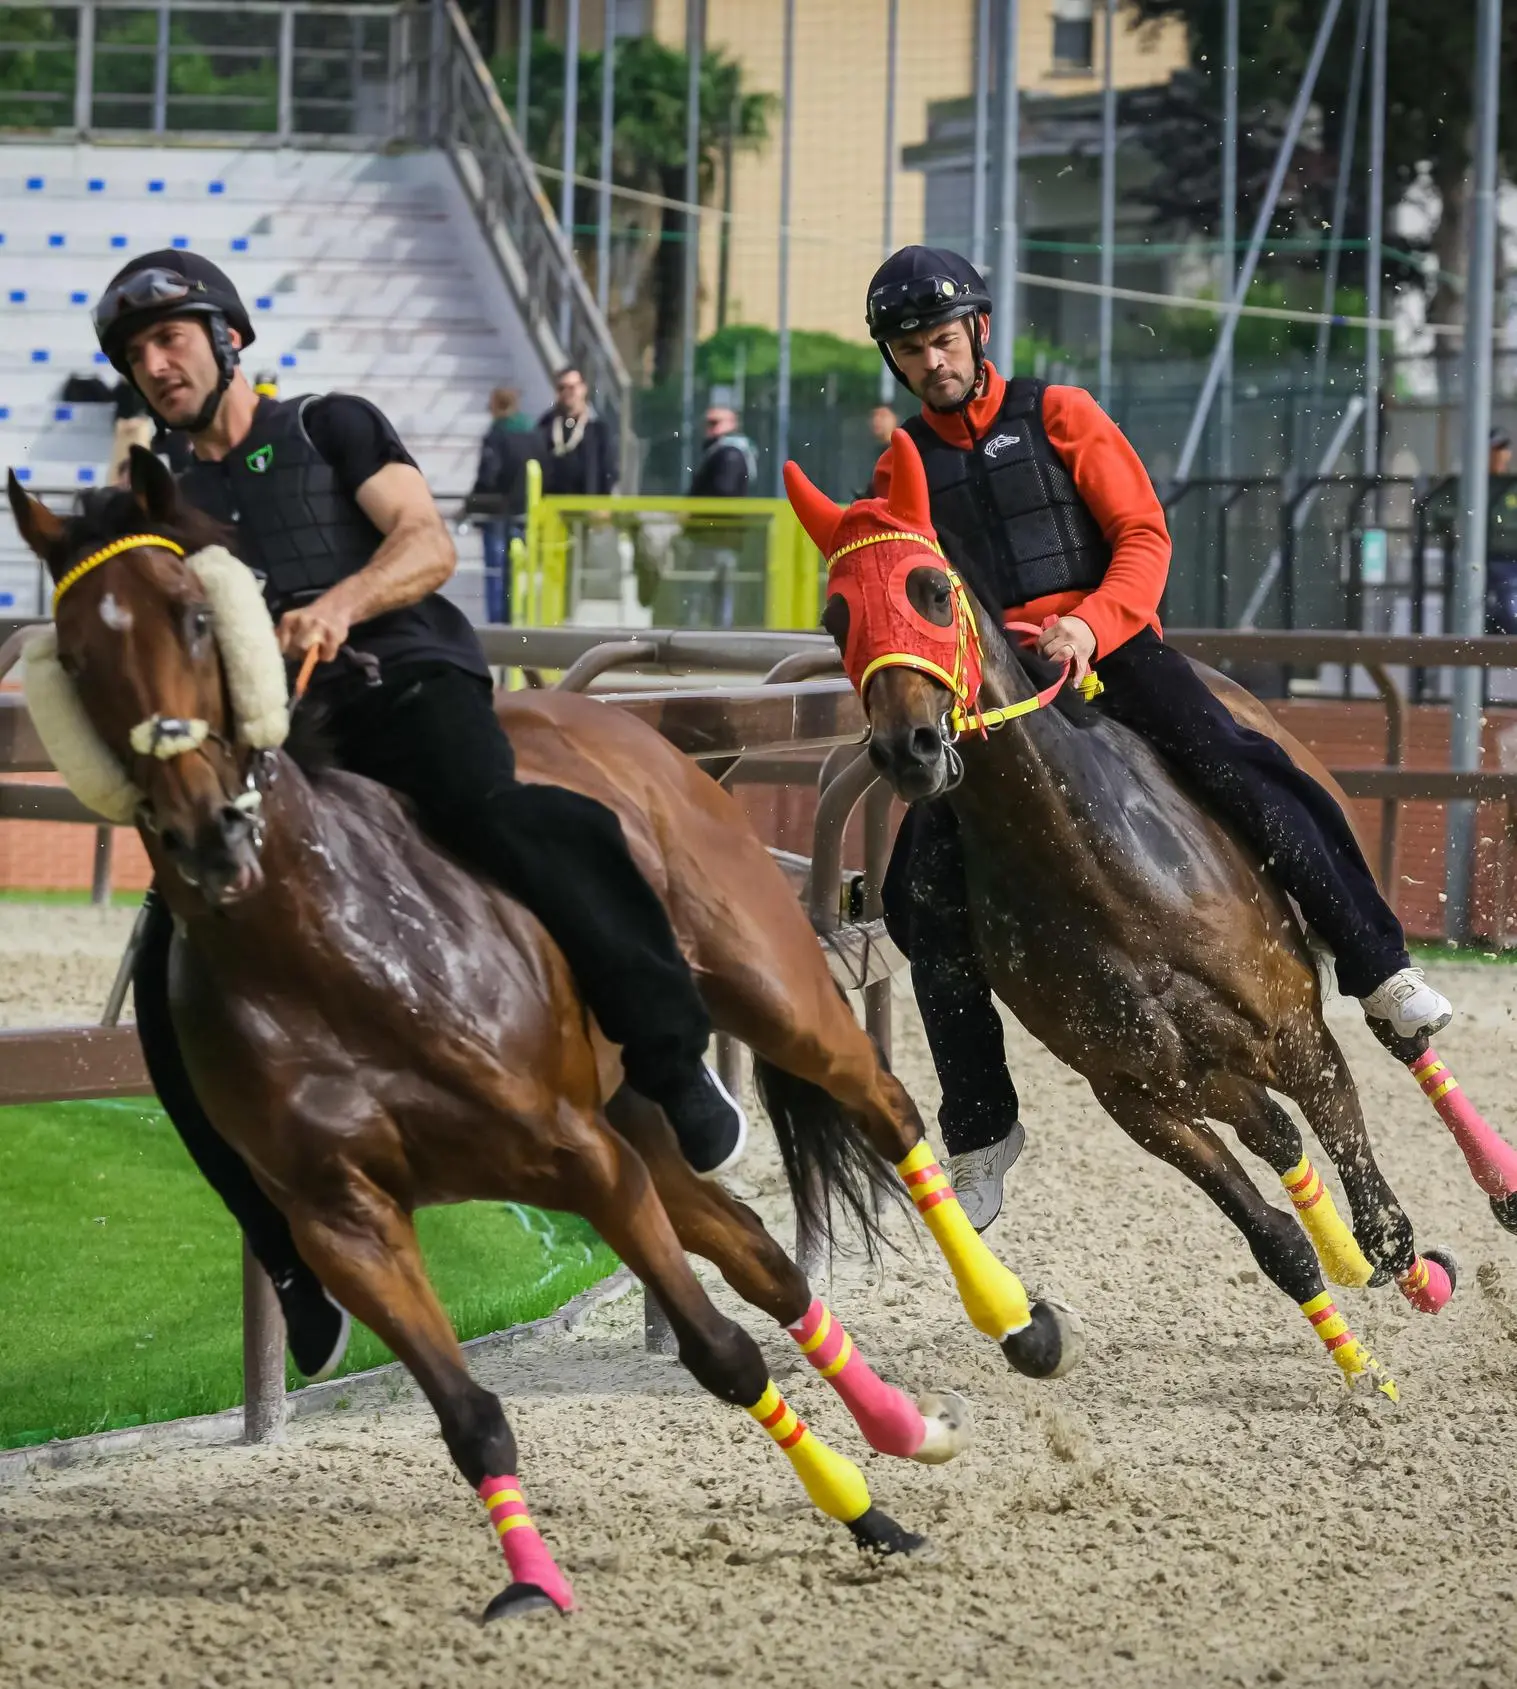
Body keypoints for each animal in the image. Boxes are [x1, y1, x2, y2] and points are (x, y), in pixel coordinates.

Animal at [8, 452, 1074, 1621]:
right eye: (76, 653)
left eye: (197, 616)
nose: (205, 830)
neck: (320, 943)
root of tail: (636, 731)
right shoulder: (347, 1223)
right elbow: (468, 1412)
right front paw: (531, 1582)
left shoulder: (579, 1158)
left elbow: (720, 1354)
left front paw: (861, 1505)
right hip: (639, 1110)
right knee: (760, 1253)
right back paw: (899, 1430)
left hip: (766, 995)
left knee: (881, 1109)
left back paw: (1014, 1322)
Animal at [780, 432, 1517, 1398]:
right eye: (836, 617)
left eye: (930, 589)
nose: (907, 750)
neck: (1096, 868)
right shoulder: (1140, 1095)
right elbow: (1275, 1239)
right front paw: (1362, 1368)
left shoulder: (1297, 1036)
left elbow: (1375, 1202)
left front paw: (1406, 1288)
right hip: (1199, 1073)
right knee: (1269, 1129)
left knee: (1392, 1042)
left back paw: (1493, 1175)